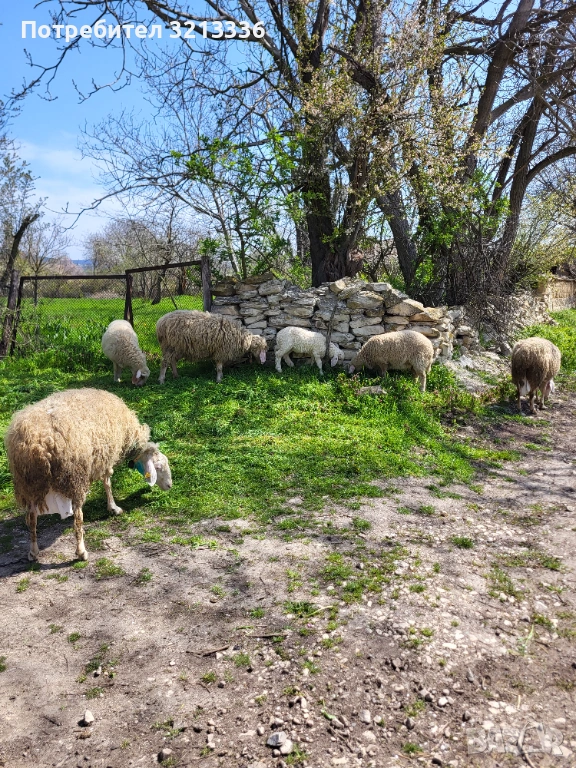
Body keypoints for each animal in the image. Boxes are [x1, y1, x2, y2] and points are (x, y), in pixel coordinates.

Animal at [4, 388, 172, 562]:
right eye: (158, 467)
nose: (170, 485)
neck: (128, 437)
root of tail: (37, 443)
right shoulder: (107, 456)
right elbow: (107, 482)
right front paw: (113, 508)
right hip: (75, 477)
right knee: (78, 518)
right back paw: (81, 551)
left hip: (28, 483)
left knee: (31, 518)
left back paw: (33, 552)